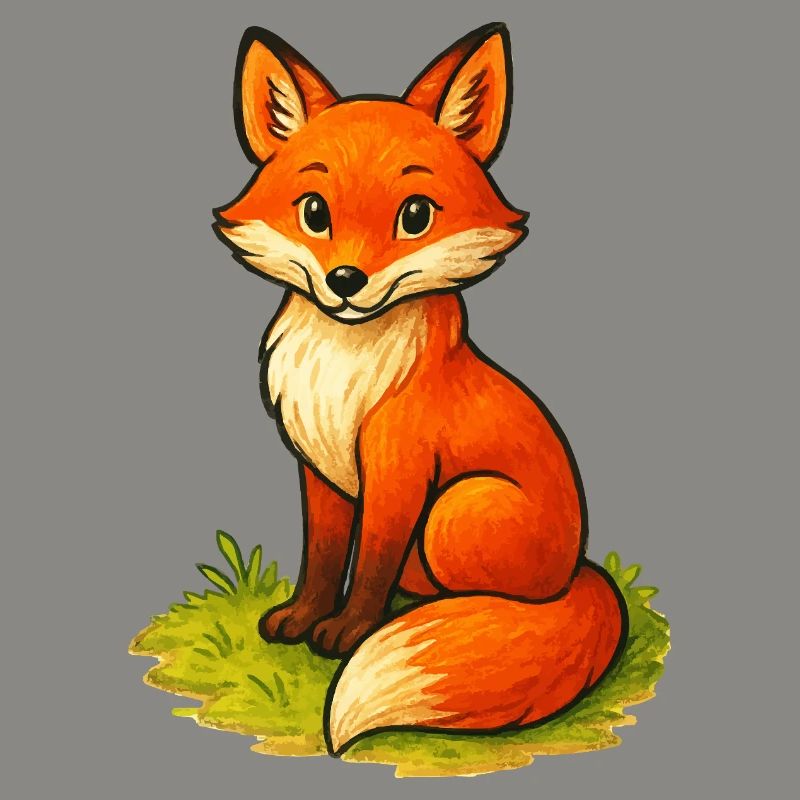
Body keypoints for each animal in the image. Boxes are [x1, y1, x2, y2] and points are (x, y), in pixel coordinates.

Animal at [213, 23, 627, 757]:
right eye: (314, 212)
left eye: (414, 216)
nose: (345, 281)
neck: (344, 369)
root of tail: (580, 569)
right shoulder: (318, 468)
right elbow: (324, 556)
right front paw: (303, 618)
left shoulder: (398, 468)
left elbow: (371, 562)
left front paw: (348, 634)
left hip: (456, 511)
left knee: (487, 597)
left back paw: (451, 614)